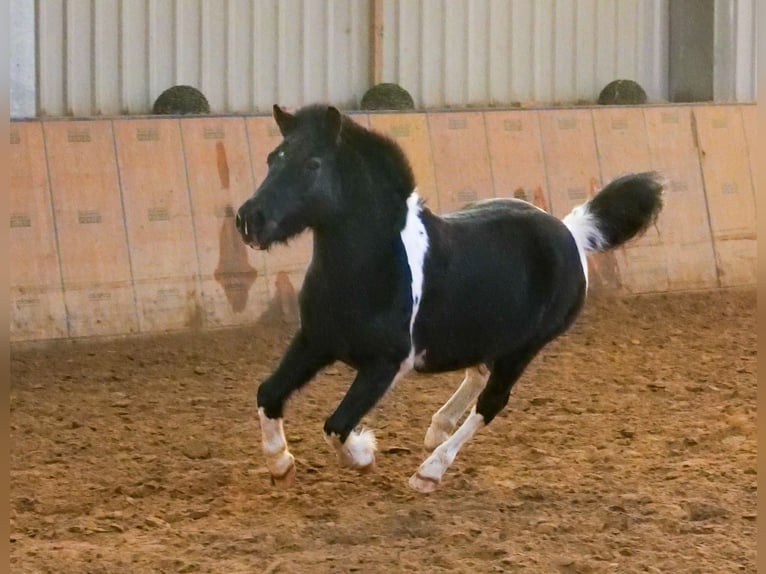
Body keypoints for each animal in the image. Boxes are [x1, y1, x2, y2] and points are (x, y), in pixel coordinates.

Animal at [237, 104, 664, 496]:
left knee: (491, 403)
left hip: (523, 349)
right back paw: (437, 429)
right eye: (273, 158)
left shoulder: (385, 364)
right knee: (476, 375)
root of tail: (572, 232)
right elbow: (268, 393)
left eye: (312, 163)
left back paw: (429, 471)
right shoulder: (315, 341)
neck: (368, 269)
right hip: (485, 333)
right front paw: (281, 465)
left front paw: (365, 454)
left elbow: (337, 426)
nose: (249, 219)